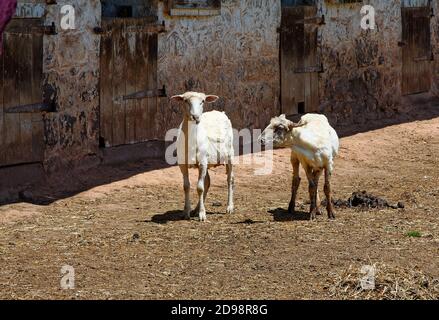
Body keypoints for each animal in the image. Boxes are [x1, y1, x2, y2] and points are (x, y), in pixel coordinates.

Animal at [171, 92, 235, 221]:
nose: (196, 117)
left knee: (230, 179)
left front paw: (202, 214)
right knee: (208, 182)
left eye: (203, 101)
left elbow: (199, 188)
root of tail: (220, 112)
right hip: (207, 161)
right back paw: (196, 209)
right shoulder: (183, 164)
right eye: (185, 101)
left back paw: (229, 207)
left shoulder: (202, 163)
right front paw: (187, 212)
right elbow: (186, 186)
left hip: (230, 153)